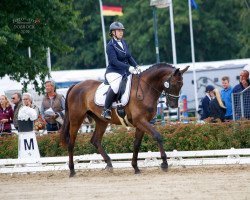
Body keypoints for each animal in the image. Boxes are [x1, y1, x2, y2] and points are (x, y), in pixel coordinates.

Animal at [61, 62, 189, 177]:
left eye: (181, 85)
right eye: (173, 84)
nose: (173, 105)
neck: (146, 88)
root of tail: (75, 85)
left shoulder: (141, 123)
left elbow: (136, 144)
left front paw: (135, 167)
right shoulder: (140, 121)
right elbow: (157, 136)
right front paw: (164, 163)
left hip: (101, 121)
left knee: (95, 140)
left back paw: (109, 164)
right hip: (76, 119)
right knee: (71, 143)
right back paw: (72, 171)